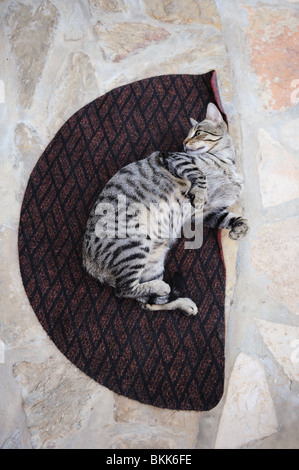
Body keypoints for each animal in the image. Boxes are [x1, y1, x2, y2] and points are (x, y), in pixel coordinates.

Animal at [83, 103, 250, 316]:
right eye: (186, 137)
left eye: (198, 132)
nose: (185, 142)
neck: (227, 164)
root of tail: (88, 262)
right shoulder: (174, 157)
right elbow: (199, 174)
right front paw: (200, 193)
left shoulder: (207, 213)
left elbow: (231, 218)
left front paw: (240, 227)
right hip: (134, 243)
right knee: (124, 289)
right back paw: (163, 287)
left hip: (151, 262)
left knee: (147, 302)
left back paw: (182, 303)